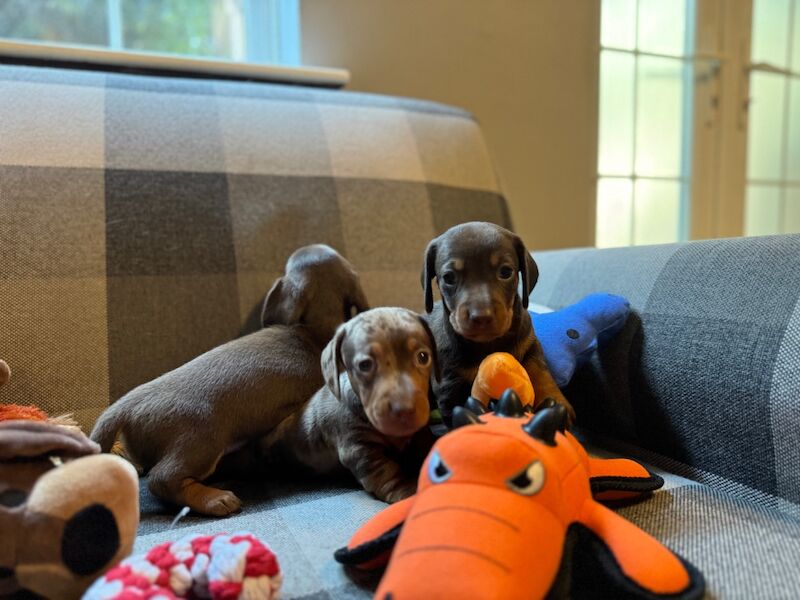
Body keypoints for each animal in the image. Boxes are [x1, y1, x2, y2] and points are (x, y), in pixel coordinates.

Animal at [255, 308, 438, 504]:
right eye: (365, 365)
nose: (405, 411)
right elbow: (386, 472)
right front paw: (406, 491)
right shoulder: (360, 449)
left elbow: (426, 443)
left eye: (423, 357)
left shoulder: (420, 432)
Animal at [422, 221, 572, 426]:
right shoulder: (448, 385)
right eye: (449, 278)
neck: (489, 344)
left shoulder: (530, 343)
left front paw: (555, 401)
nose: (481, 316)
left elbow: (539, 370)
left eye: (506, 272)